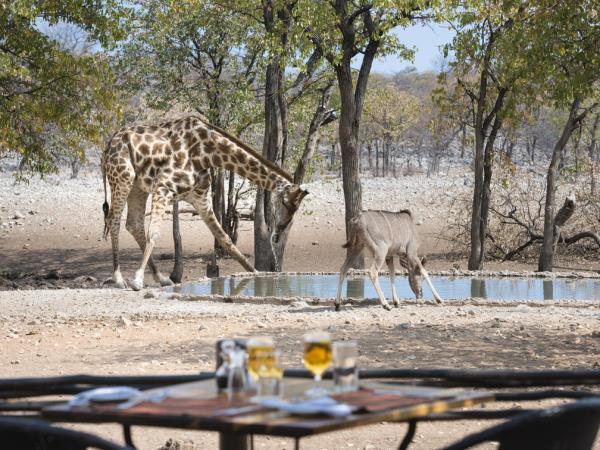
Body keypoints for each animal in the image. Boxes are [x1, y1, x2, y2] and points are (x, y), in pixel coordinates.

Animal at [102, 115, 310, 292]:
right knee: (114, 220)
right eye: (285, 203)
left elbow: (226, 239)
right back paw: (119, 279)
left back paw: (162, 278)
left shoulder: (200, 199)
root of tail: (107, 147)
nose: (277, 234)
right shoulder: (163, 187)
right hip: (122, 178)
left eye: (296, 208)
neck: (208, 153)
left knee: (133, 224)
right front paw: (137, 280)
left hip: (138, 187)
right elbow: (153, 233)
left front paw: (256, 274)